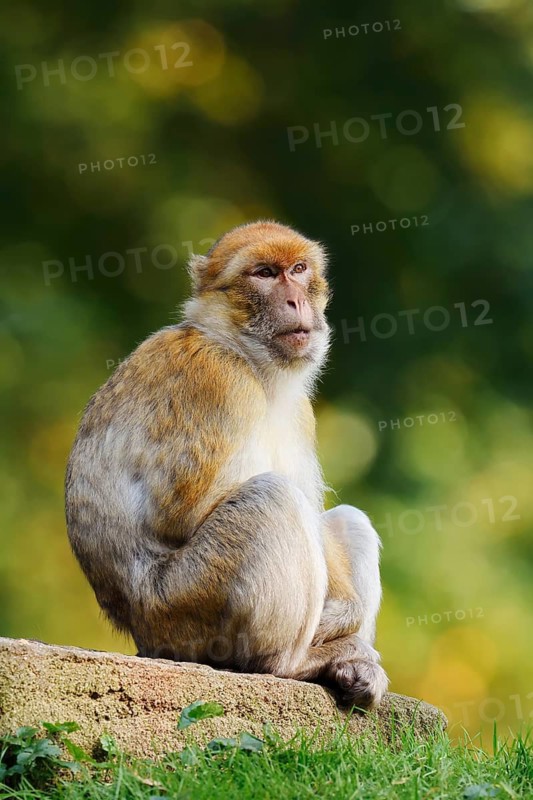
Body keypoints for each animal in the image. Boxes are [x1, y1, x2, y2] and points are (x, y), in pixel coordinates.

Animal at [65, 219, 388, 709]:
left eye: (298, 269)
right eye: (264, 273)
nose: (295, 300)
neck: (247, 358)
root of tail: (143, 636)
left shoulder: (299, 411)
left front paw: (346, 618)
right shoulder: (218, 378)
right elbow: (185, 514)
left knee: (347, 519)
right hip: (188, 608)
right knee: (272, 497)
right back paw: (290, 663)